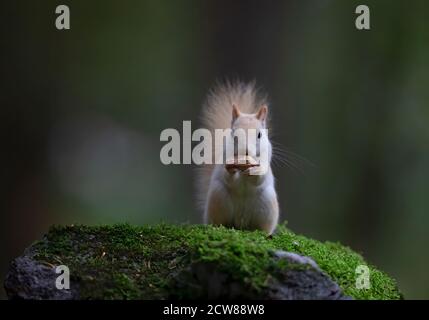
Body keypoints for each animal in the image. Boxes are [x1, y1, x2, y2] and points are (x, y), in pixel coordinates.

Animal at [196, 81, 280, 234]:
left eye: (260, 135)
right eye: (233, 134)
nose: (245, 152)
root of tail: (241, 223)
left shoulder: (266, 157)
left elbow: (260, 178)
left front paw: (255, 171)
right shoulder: (224, 156)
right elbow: (227, 176)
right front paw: (231, 168)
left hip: (267, 205)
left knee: (261, 227)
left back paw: (265, 233)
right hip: (217, 198)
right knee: (219, 221)